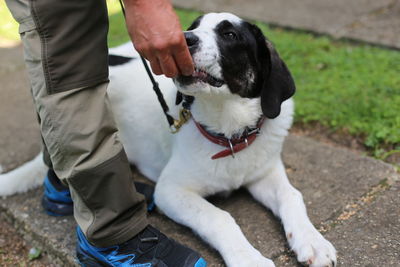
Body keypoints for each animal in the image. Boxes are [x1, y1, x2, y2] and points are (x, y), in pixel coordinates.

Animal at [0, 13, 336, 267]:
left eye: (229, 34)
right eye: (194, 25)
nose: (185, 38)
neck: (229, 132)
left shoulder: (265, 172)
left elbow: (292, 196)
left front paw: (312, 241)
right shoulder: (172, 190)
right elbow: (219, 217)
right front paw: (248, 259)